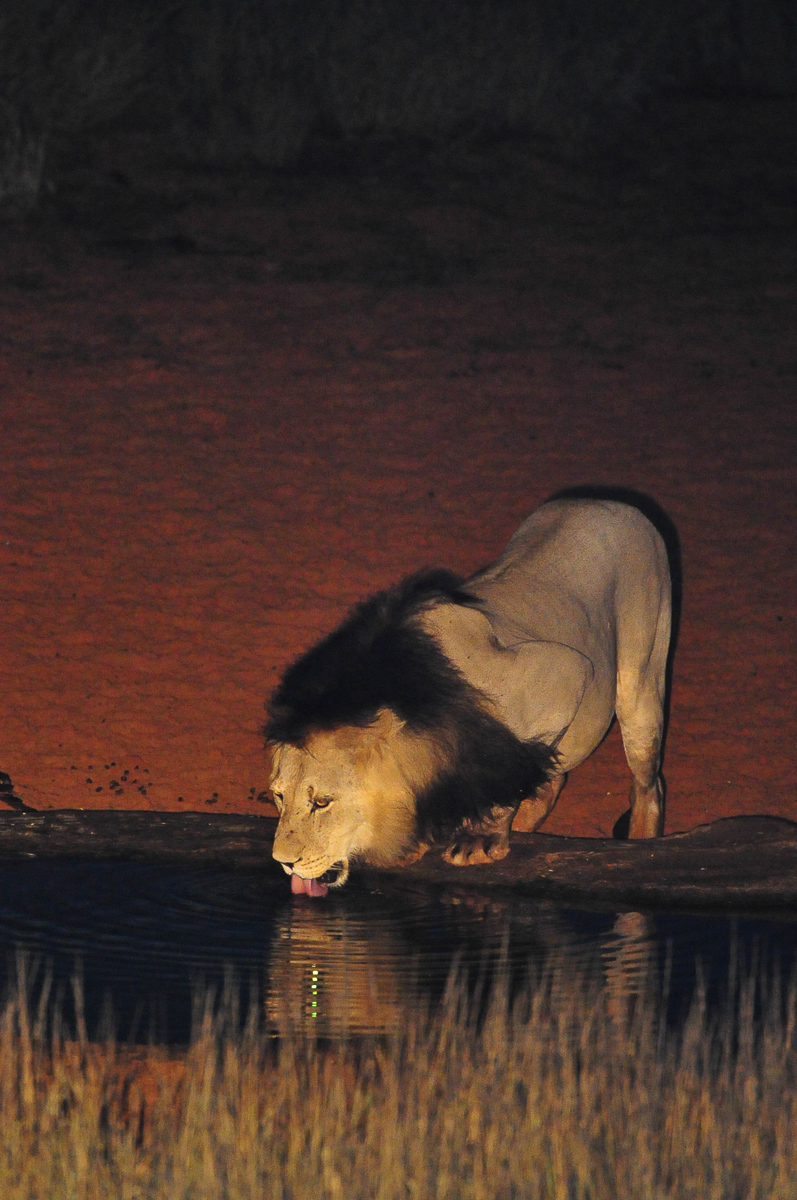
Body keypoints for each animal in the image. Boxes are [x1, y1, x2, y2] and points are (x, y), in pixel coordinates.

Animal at [266, 498, 672, 896]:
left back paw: (642, 843)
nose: (283, 862)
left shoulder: (564, 674)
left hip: (640, 680)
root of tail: (608, 502)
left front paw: (480, 839)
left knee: (648, 784)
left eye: (322, 802)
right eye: (279, 796)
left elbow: (511, 771)